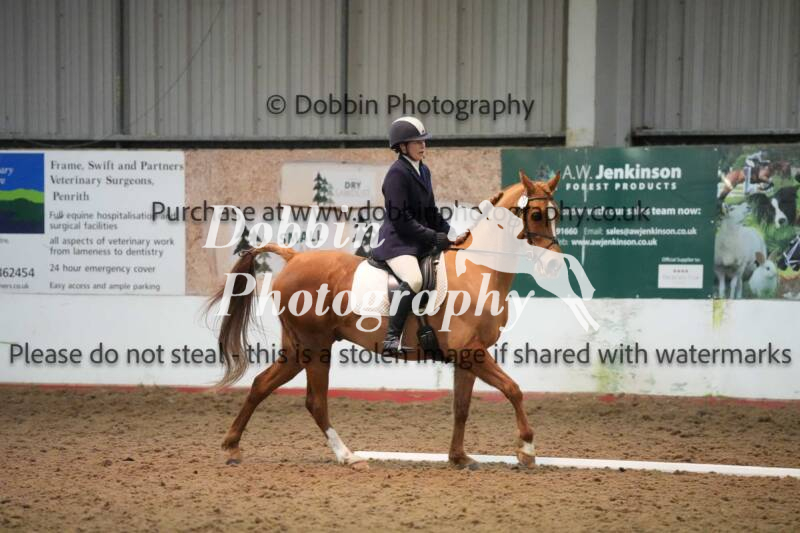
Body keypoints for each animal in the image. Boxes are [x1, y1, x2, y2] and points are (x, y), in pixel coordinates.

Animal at [208, 170, 563, 470]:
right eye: (535, 215)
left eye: (556, 214)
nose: (555, 267)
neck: (478, 269)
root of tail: (293, 257)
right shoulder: (470, 351)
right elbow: (513, 389)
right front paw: (527, 450)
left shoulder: (466, 356)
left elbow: (461, 407)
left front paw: (459, 457)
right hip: (315, 347)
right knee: (315, 402)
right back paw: (348, 456)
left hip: (297, 350)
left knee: (260, 385)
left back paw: (232, 447)